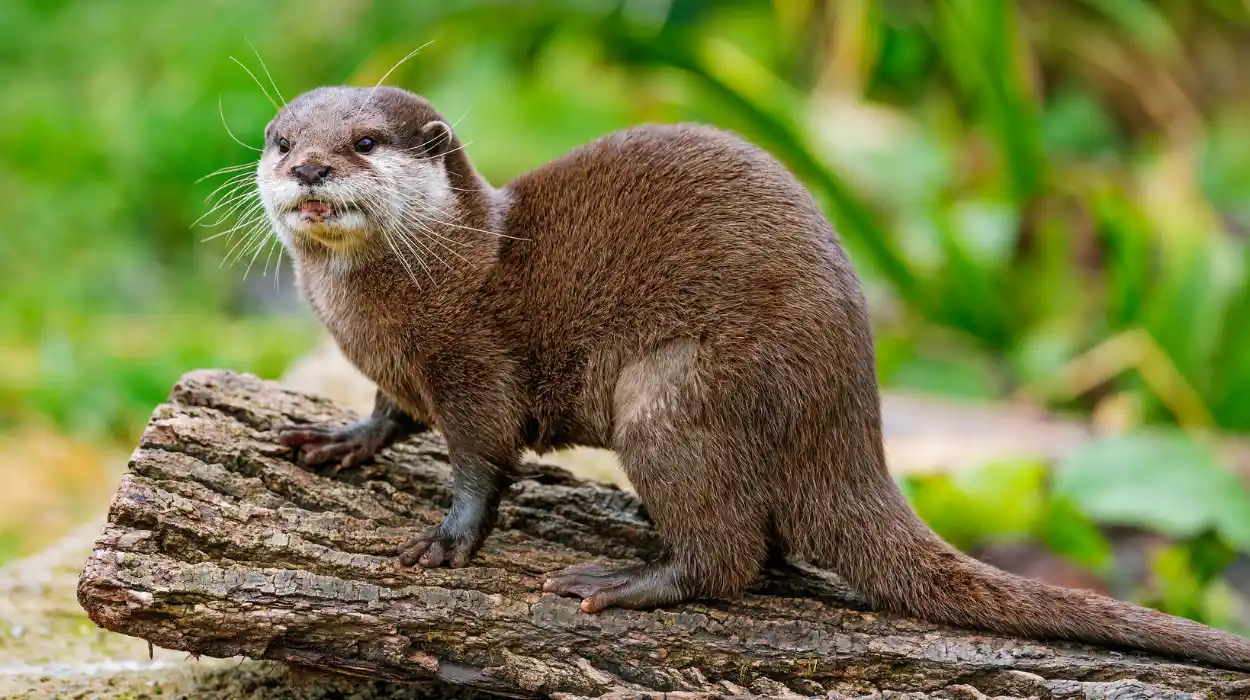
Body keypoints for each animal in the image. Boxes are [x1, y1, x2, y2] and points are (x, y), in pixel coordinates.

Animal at [254, 85, 1250, 670]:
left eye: (366, 141)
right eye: (278, 138)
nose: (310, 166)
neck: (423, 287)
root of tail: (852, 426)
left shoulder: (472, 364)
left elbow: (483, 461)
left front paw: (449, 538)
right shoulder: (404, 373)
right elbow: (390, 413)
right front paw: (337, 439)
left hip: (673, 395)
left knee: (731, 557)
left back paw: (626, 581)